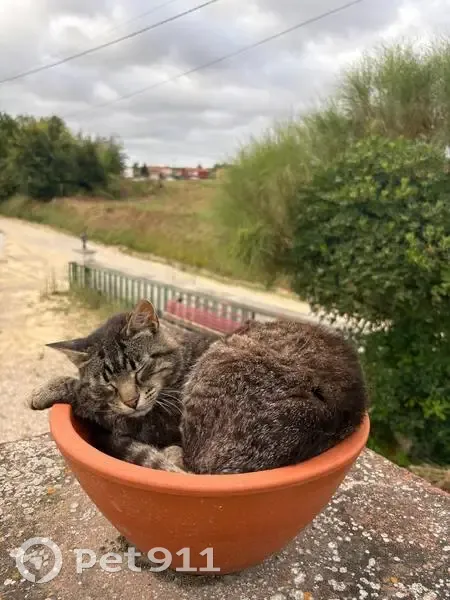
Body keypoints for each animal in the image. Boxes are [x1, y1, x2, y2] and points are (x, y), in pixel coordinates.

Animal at [30, 299, 368, 474]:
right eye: (109, 383)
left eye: (140, 368)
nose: (131, 400)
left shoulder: (156, 422)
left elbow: (89, 399)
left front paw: (49, 389)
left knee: (189, 465)